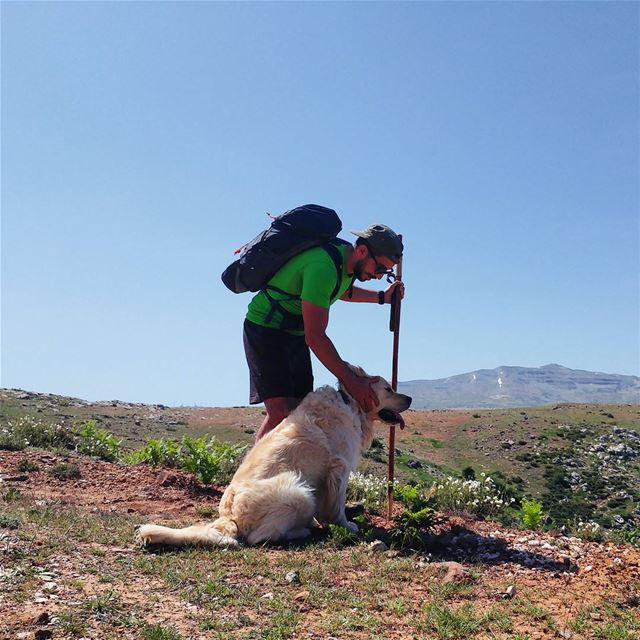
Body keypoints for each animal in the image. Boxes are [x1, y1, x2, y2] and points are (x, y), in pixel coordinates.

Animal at [138, 368, 412, 548]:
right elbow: (337, 506)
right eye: (388, 388)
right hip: (299, 492)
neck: (351, 402)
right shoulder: (339, 467)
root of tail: (229, 516)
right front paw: (345, 525)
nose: (410, 398)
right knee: (260, 537)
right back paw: (300, 531)